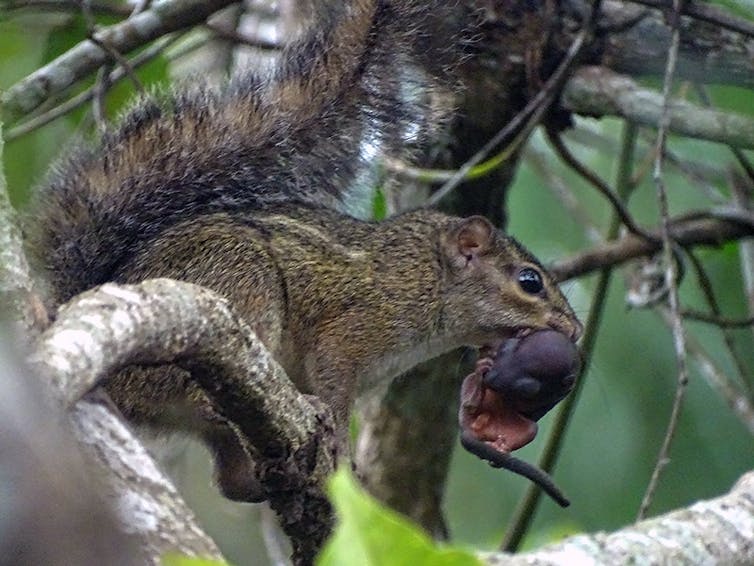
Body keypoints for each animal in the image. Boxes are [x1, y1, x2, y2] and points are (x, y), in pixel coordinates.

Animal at [29, 0, 580, 504]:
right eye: (529, 281)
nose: (573, 330)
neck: (426, 277)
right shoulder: (354, 327)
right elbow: (334, 382)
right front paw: (338, 438)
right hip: (239, 282)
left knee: (229, 479)